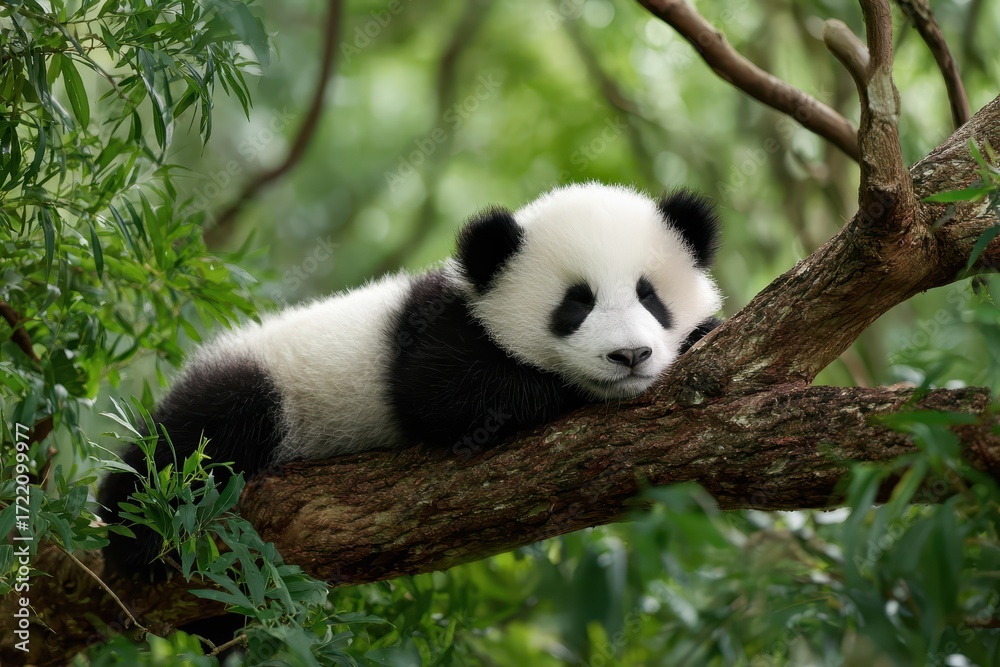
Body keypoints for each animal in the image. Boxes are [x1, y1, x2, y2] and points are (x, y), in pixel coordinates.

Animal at [98, 182, 723, 576]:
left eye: (649, 295)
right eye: (576, 303)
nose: (630, 355)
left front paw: (703, 331)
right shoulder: (432, 329)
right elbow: (442, 393)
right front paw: (561, 388)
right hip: (260, 383)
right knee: (195, 437)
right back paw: (135, 533)